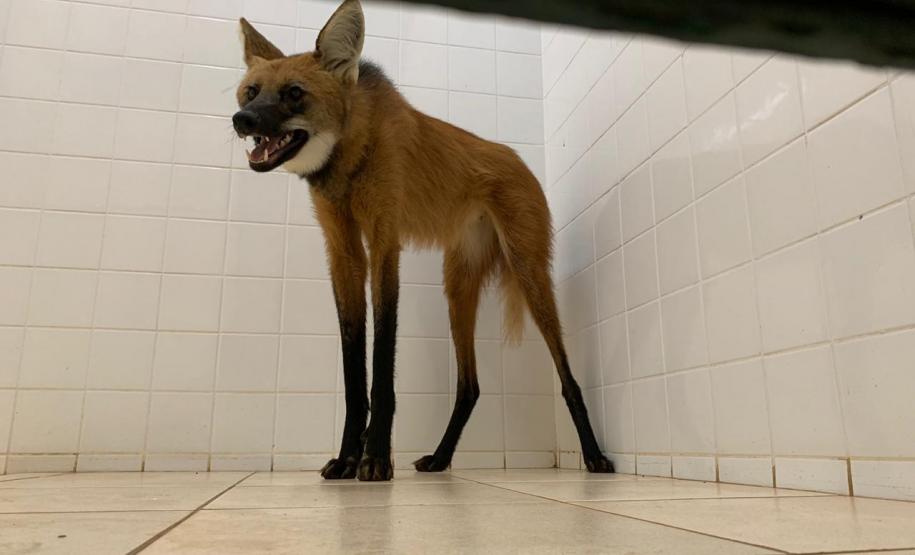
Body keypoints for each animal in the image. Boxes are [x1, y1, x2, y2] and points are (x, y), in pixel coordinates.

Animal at [233, 0, 613, 481]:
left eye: (294, 93)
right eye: (251, 92)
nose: (242, 120)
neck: (350, 155)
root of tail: (519, 159)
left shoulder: (384, 242)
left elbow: (381, 363)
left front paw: (375, 459)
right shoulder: (343, 253)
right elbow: (353, 372)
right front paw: (347, 459)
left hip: (528, 271)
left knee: (567, 376)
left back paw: (595, 457)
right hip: (456, 286)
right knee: (470, 385)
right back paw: (440, 458)